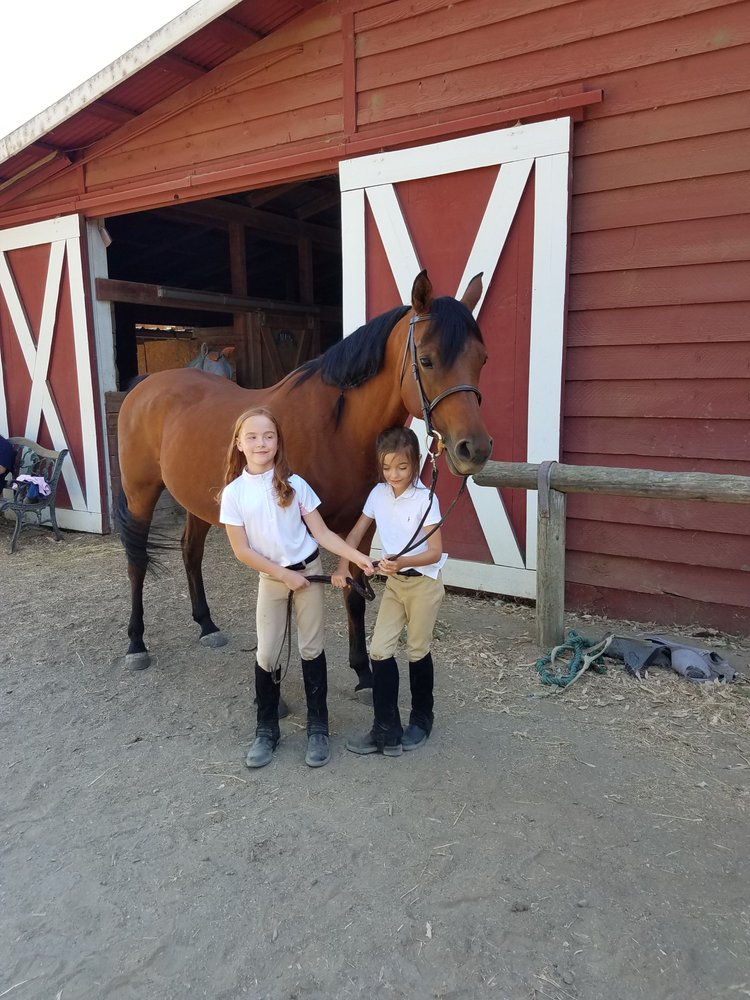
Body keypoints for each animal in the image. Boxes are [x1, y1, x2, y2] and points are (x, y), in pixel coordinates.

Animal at [117, 271, 492, 691]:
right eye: (426, 360)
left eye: (481, 359)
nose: (474, 449)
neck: (336, 428)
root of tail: (145, 386)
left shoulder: (359, 527)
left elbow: (354, 593)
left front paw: (363, 673)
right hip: (140, 494)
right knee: (136, 561)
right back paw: (136, 644)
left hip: (199, 501)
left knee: (190, 552)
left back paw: (207, 625)